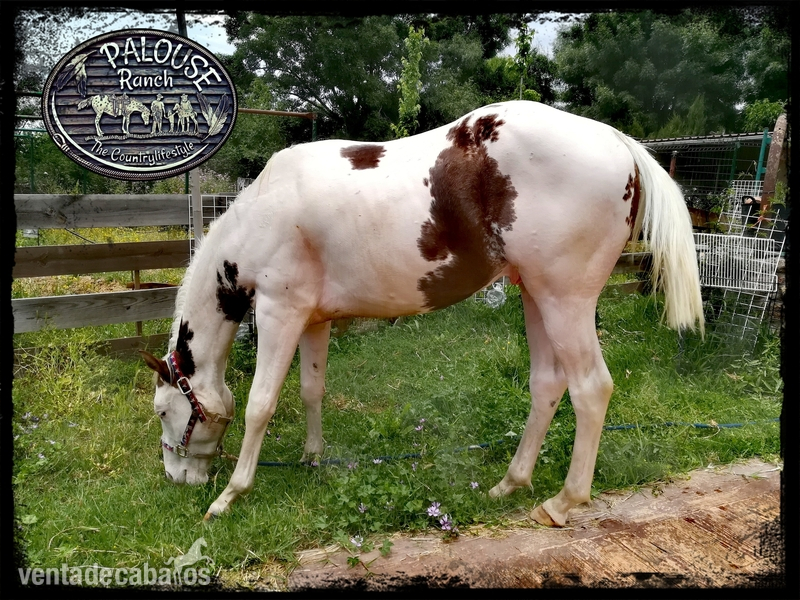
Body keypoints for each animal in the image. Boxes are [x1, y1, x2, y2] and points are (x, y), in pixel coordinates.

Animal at [141, 100, 704, 526]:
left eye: (164, 411)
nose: (177, 478)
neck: (265, 207)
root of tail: (618, 141)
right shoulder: (312, 319)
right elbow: (311, 390)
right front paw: (312, 457)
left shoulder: (281, 312)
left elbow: (260, 404)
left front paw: (230, 496)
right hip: (536, 296)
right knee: (547, 385)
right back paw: (510, 483)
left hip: (566, 302)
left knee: (590, 390)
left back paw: (563, 502)